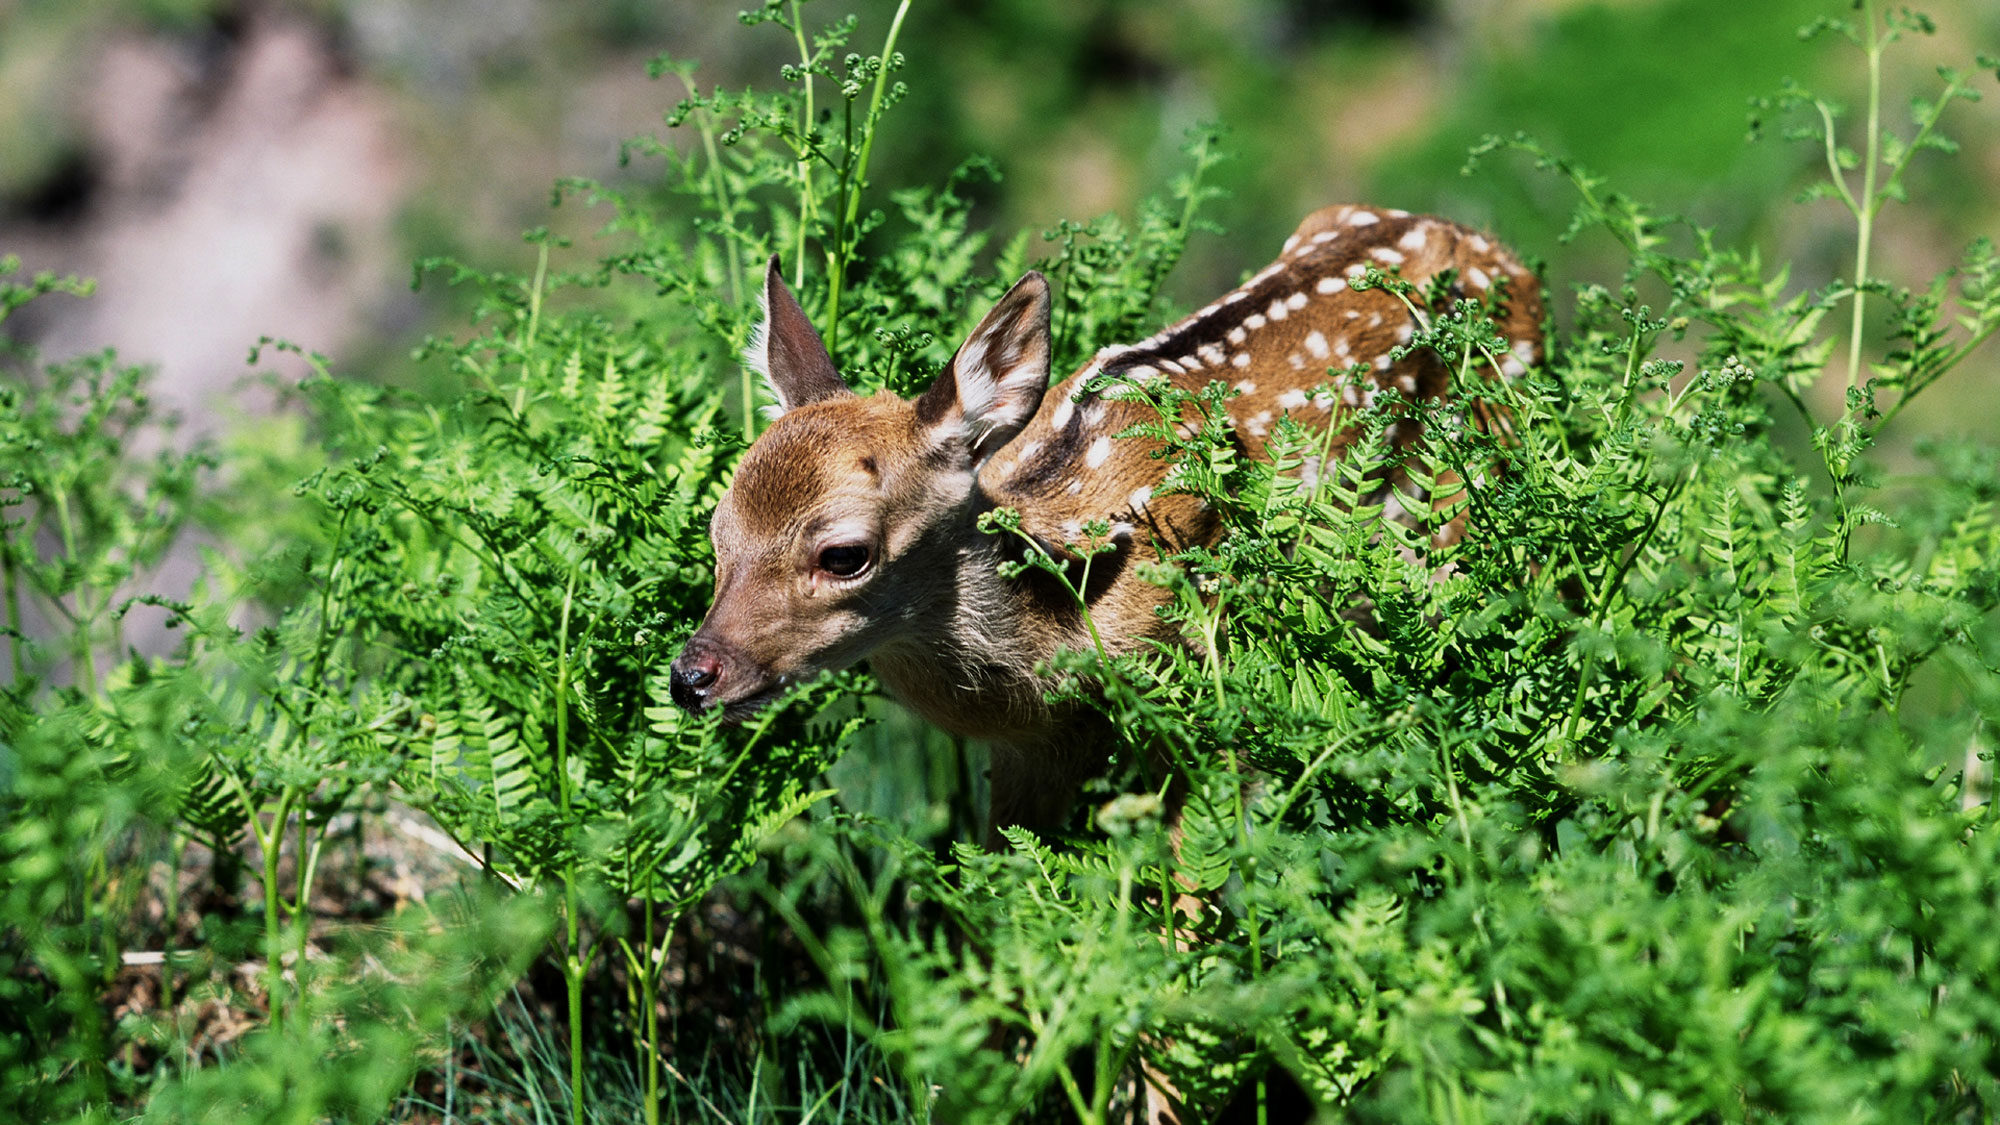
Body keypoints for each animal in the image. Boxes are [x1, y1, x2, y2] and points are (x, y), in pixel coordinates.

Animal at [672, 208, 1544, 840]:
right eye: (717, 533)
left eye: (844, 553)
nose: (691, 675)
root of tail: (1496, 248)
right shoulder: (1032, 753)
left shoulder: (1219, 696)